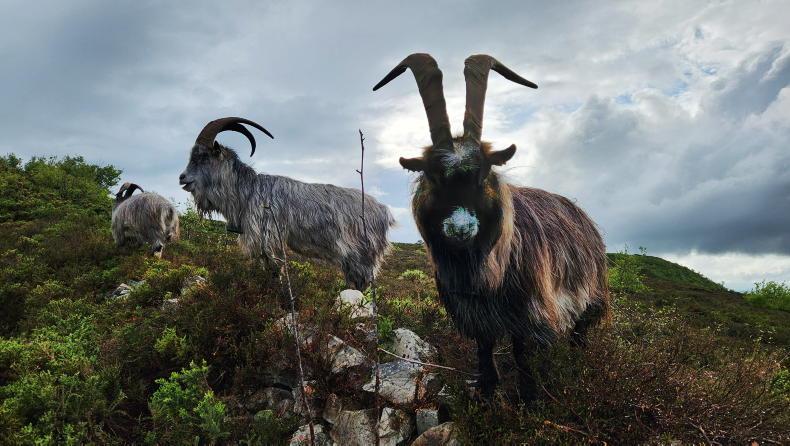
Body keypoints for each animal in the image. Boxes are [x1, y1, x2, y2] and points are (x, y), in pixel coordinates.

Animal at [178, 117, 394, 290]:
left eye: (203, 156)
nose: (182, 178)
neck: (248, 192)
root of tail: (384, 212)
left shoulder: (268, 236)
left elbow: (275, 269)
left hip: (361, 254)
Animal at [373, 54, 609, 401]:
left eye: (483, 173)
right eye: (433, 174)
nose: (461, 228)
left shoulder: (529, 311)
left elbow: (523, 353)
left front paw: (529, 398)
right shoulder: (473, 312)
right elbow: (484, 348)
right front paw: (486, 389)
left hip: (591, 297)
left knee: (579, 335)